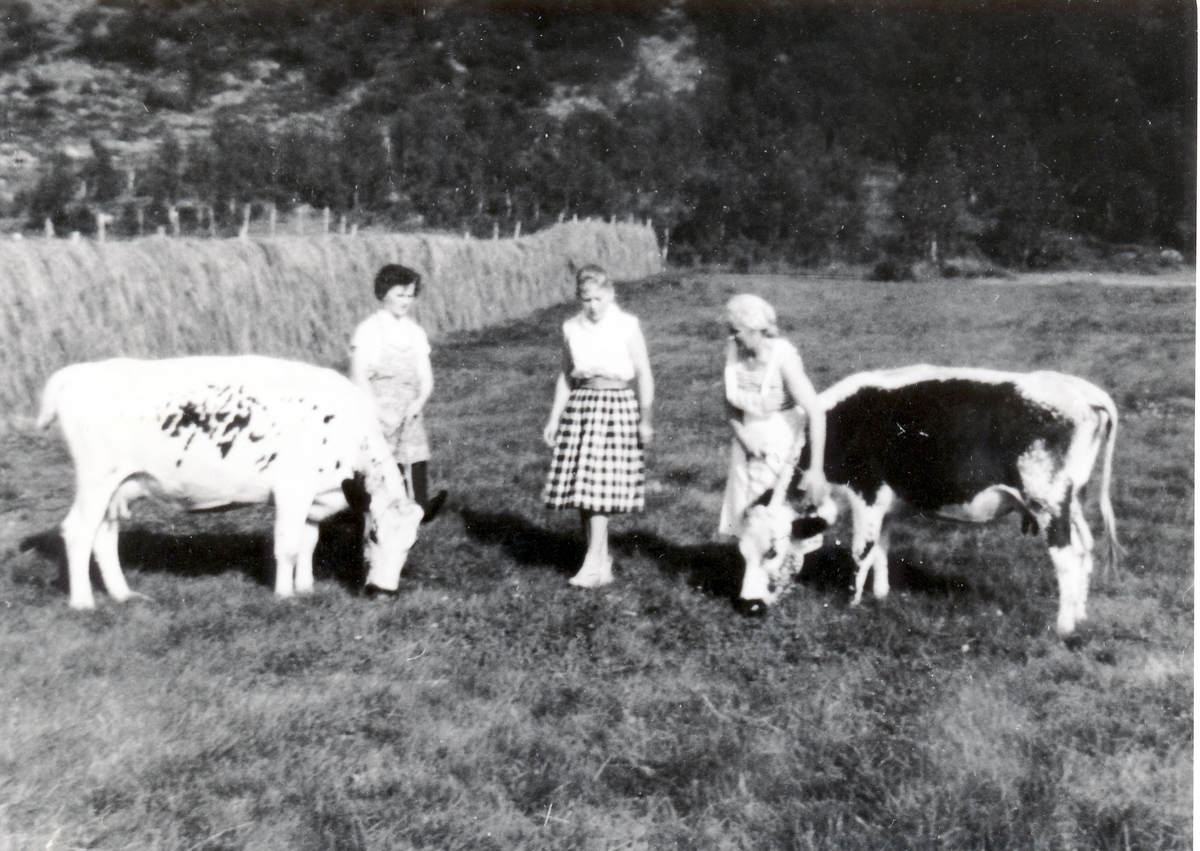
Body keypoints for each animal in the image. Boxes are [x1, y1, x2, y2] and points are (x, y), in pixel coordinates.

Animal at [37, 355, 424, 607]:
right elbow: (288, 546)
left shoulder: (316, 497)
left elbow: (308, 543)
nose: (383, 593)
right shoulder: (292, 490)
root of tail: (78, 372)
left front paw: (306, 589)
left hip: (120, 486)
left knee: (104, 536)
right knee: (78, 531)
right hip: (97, 478)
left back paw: (123, 595)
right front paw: (285, 596)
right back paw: (84, 602)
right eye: (372, 535)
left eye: (412, 544)